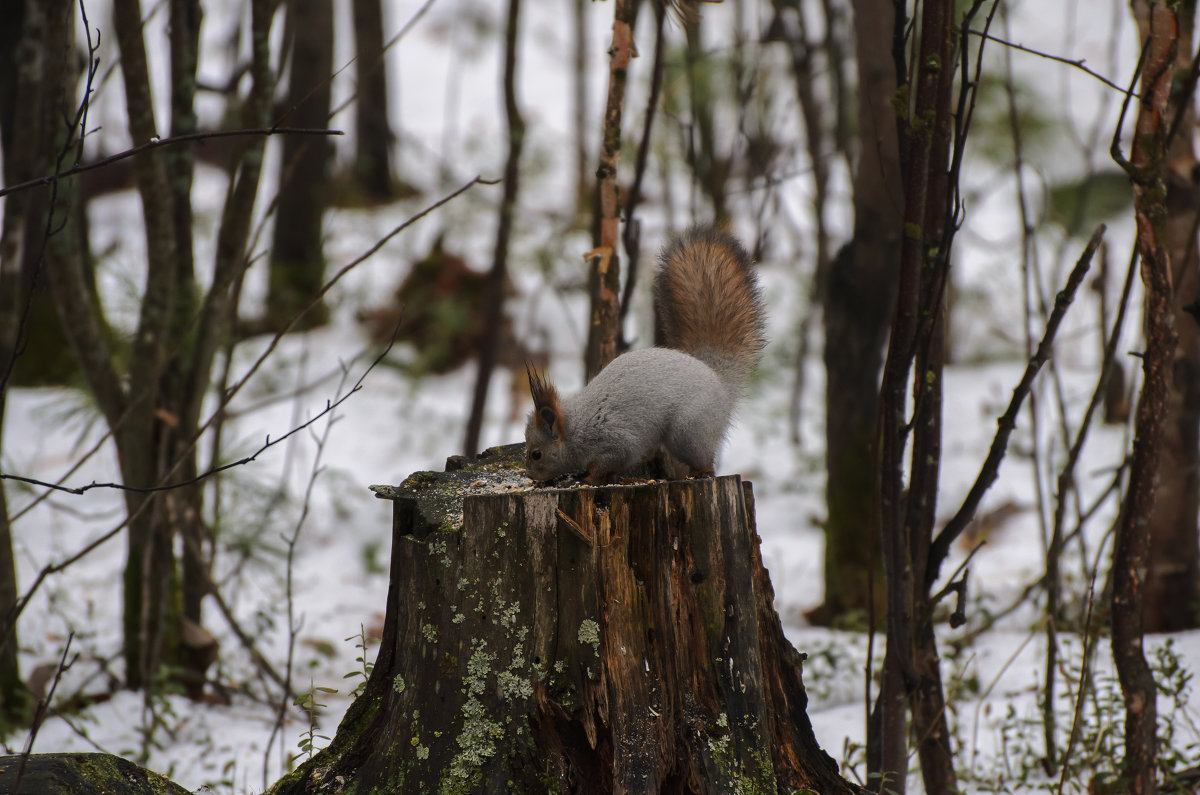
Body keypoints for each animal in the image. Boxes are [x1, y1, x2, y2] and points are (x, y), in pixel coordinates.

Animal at [525, 225, 768, 485]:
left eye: (537, 454)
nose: (530, 475)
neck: (575, 430)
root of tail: (717, 378)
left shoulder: (616, 441)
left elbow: (607, 463)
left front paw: (589, 479)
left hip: (689, 430)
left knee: (703, 458)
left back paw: (701, 472)